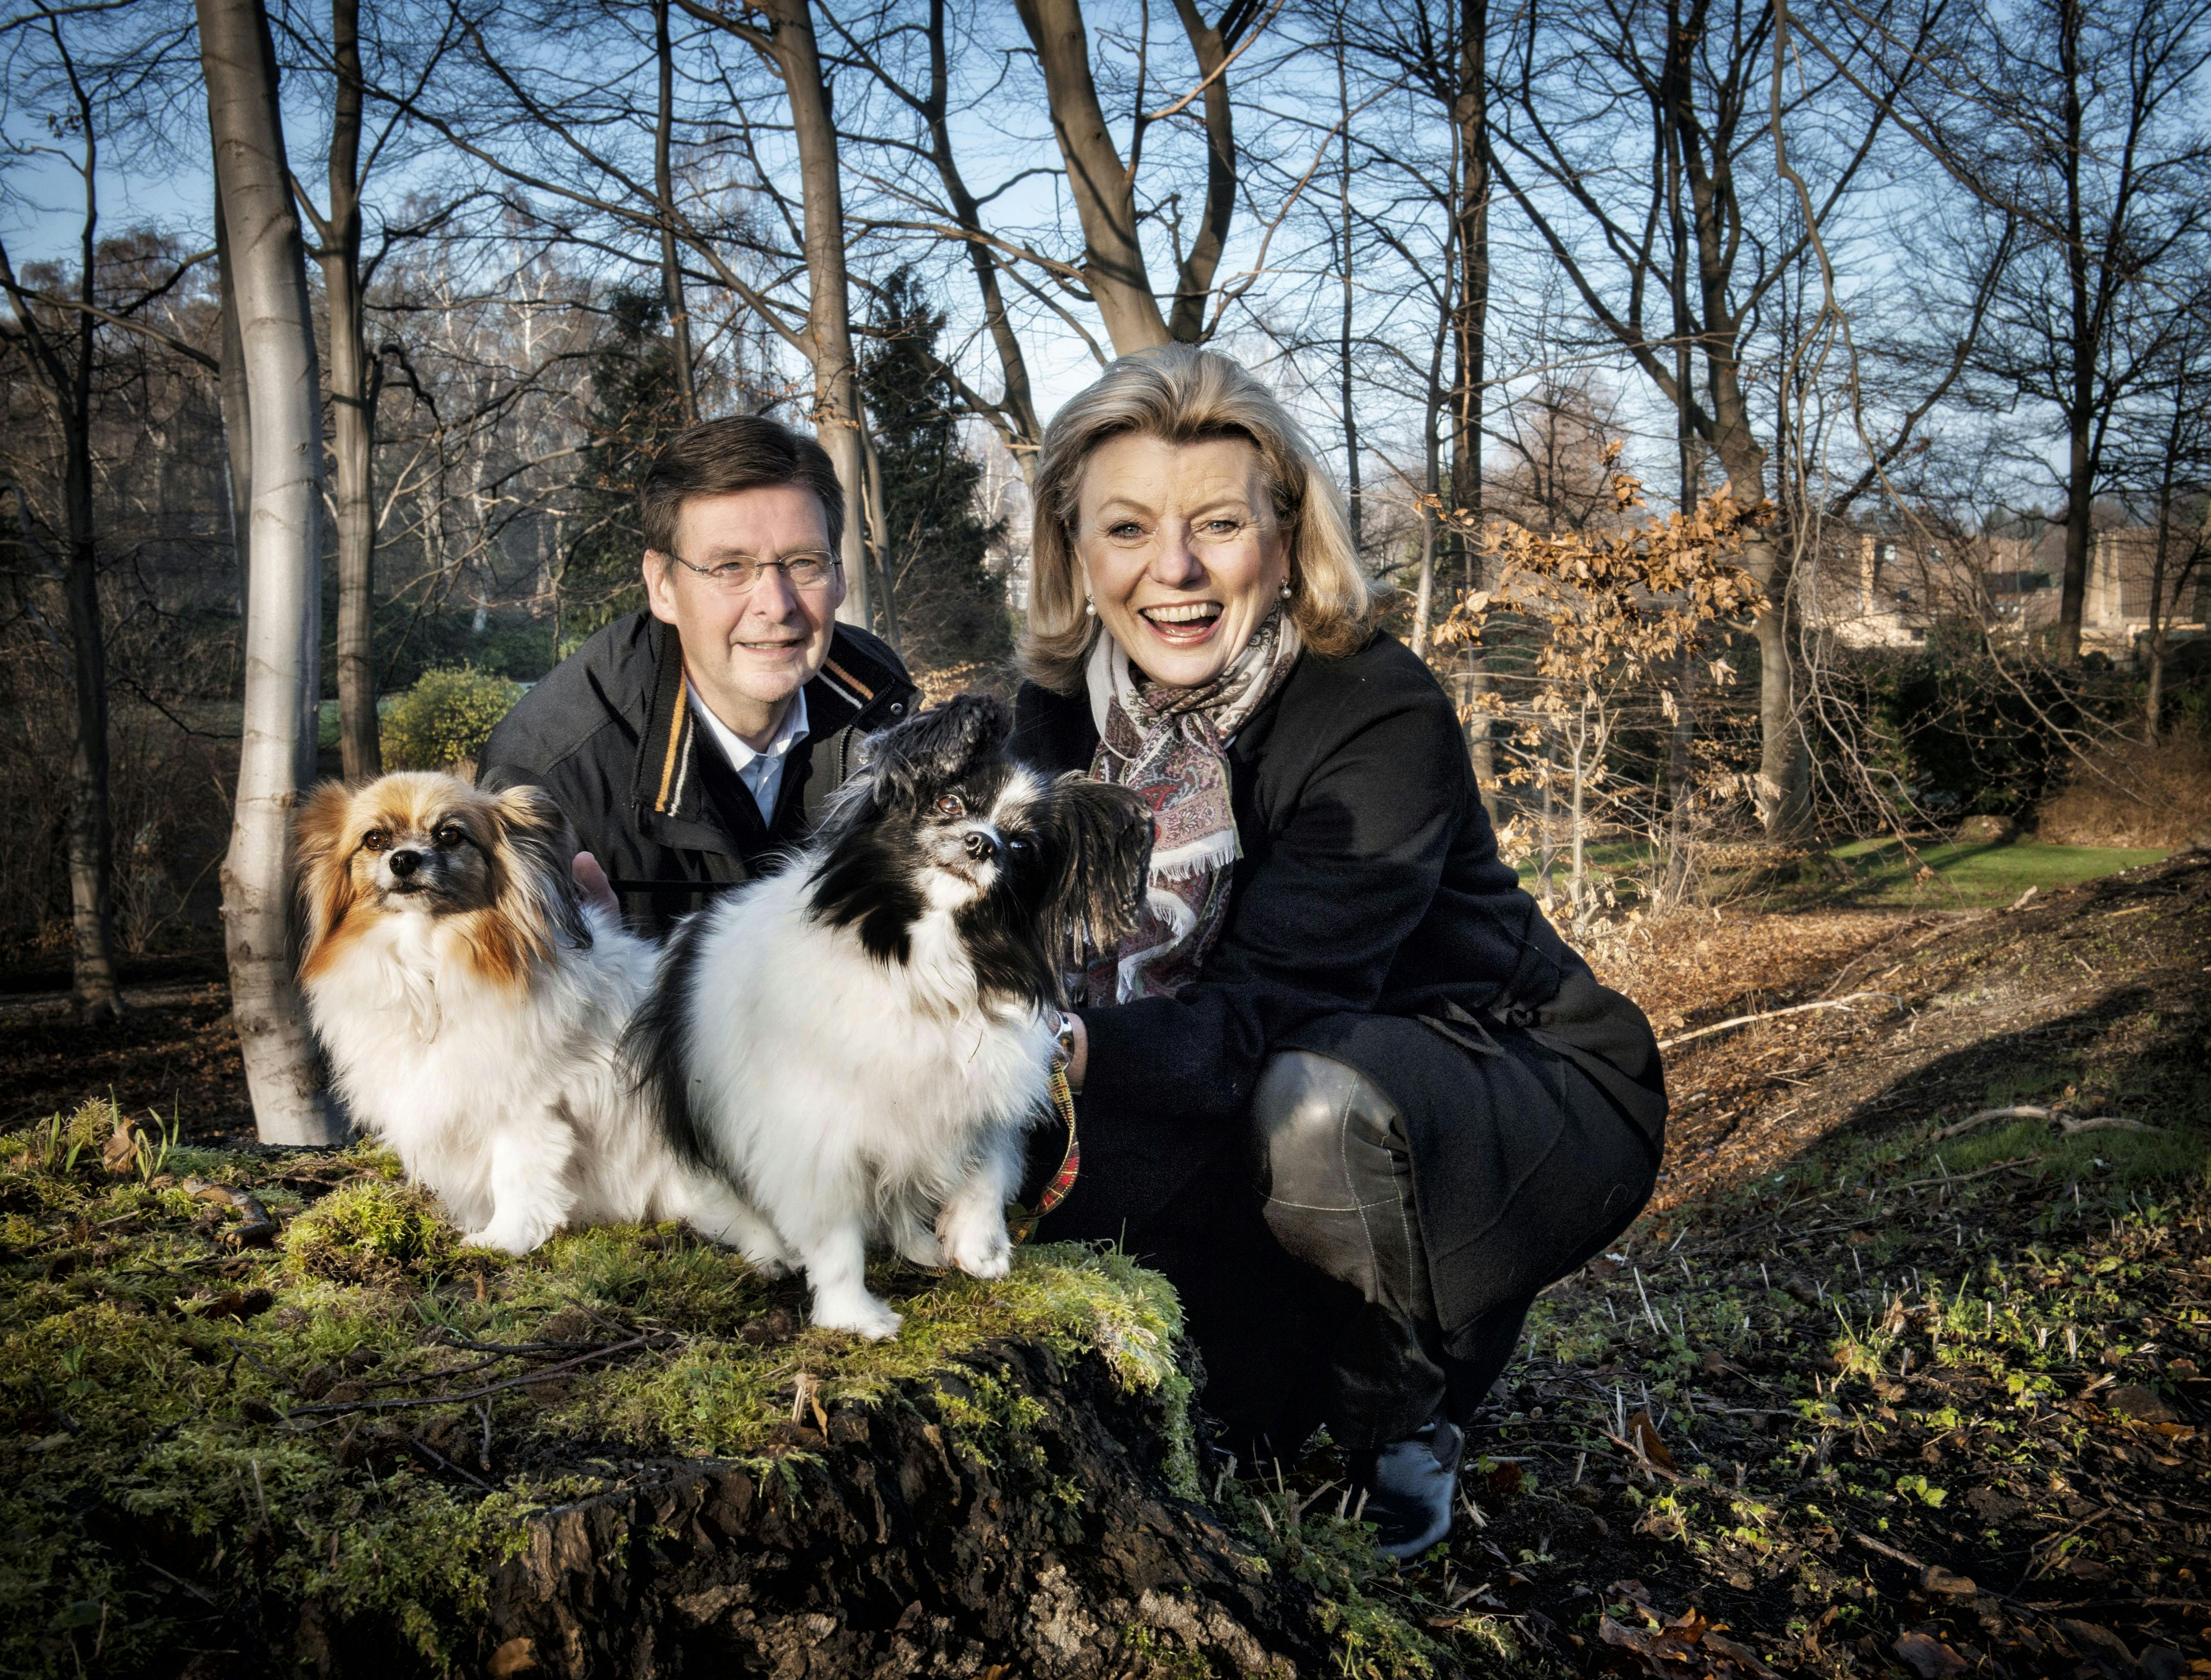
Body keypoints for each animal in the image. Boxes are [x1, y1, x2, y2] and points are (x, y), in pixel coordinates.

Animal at [289, 773, 783, 1255]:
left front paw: (503, 1240)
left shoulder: (525, 1106)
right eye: (374, 839)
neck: (430, 967)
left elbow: (515, 1175)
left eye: (450, 835)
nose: (404, 860)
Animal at [628, 694, 1159, 1335]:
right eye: (949, 803)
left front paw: (978, 1244)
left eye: (1022, 848)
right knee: (728, 1201)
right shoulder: (818, 1140)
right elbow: (836, 1240)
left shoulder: (975, 1100)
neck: (922, 965)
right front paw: (854, 1316)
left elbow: (989, 1167)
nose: (982, 843)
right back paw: (771, 1250)